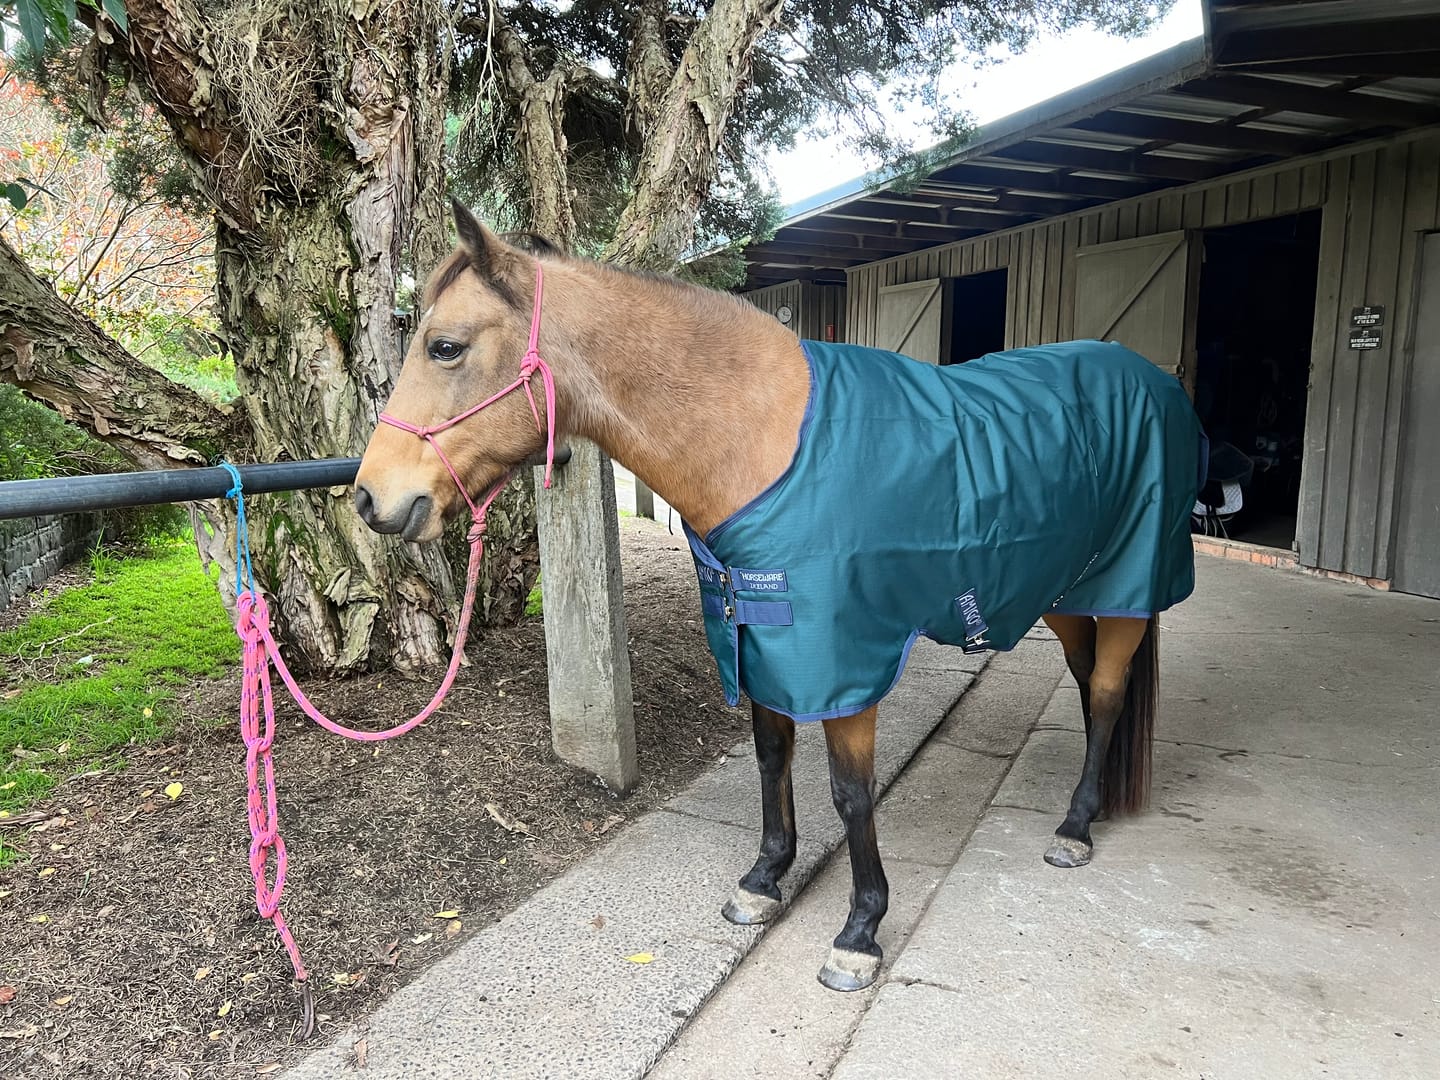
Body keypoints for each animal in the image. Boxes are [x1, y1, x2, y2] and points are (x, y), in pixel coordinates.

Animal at [354, 201, 1204, 993]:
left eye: (445, 346)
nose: (369, 499)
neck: (761, 440)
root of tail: (1151, 380)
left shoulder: (842, 664)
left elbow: (852, 794)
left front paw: (860, 931)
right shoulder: (758, 642)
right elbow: (772, 759)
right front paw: (764, 880)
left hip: (1125, 593)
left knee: (1106, 695)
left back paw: (1075, 825)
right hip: (1064, 591)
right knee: (1090, 682)